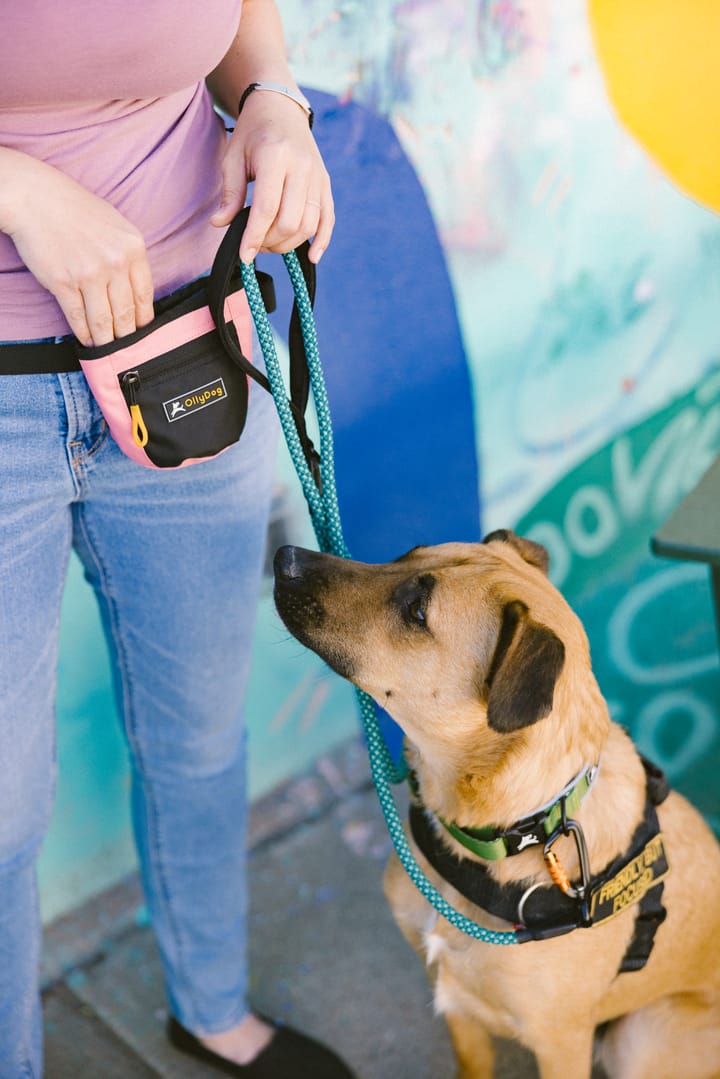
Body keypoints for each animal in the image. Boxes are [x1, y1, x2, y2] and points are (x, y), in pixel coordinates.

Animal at [272, 533, 720, 1079]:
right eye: (406, 554)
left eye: (417, 610)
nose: (285, 558)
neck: (521, 828)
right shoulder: (452, 999)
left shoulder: (561, 1043)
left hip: (640, 1039)